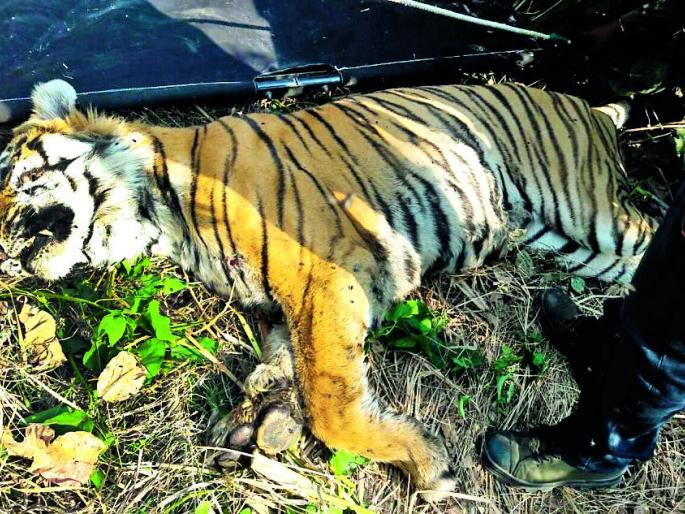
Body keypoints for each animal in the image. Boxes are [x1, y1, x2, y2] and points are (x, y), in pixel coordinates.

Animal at [0, 79, 656, 499]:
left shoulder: (327, 274)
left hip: (589, 211)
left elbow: (330, 398)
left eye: (19, 177)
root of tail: (588, 104)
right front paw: (254, 417)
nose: (5, 248)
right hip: (568, 243)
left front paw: (427, 464)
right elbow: (283, 361)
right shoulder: (277, 301)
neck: (161, 218)